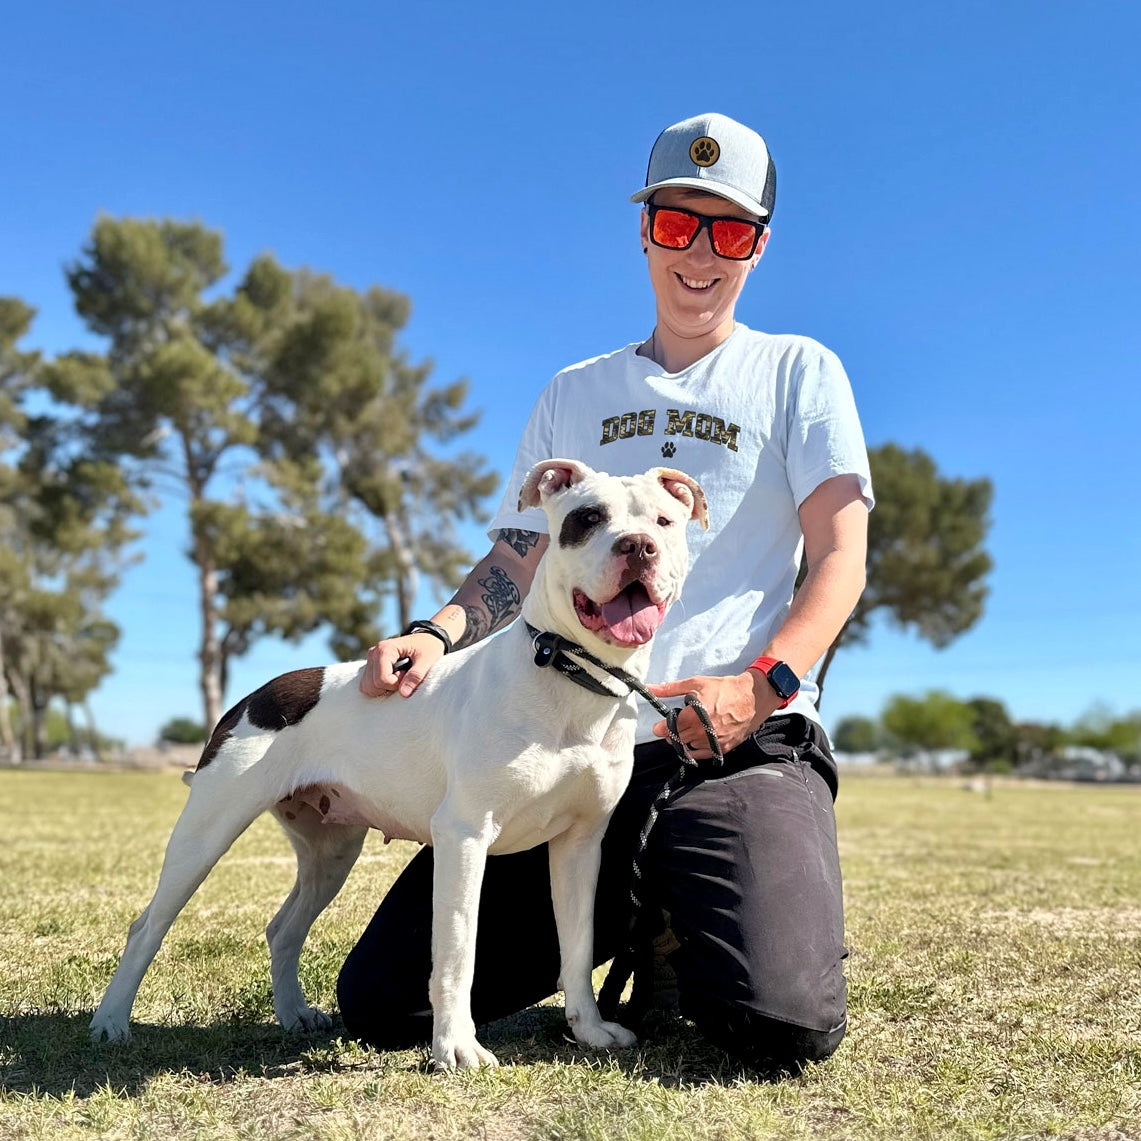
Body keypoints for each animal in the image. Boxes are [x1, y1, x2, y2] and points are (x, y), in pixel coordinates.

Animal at [91, 456, 702, 1067]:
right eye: (589, 517)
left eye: (664, 521)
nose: (638, 546)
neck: (569, 674)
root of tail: (256, 695)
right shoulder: (464, 836)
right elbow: (456, 952)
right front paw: (456, 1047)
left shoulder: (580, 845)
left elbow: (575, 947)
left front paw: (591, 1030)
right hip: (207, 832)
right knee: (147, 926)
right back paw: (111, 1021)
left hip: (330, 853)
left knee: (283, 929)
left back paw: (293, 1015)